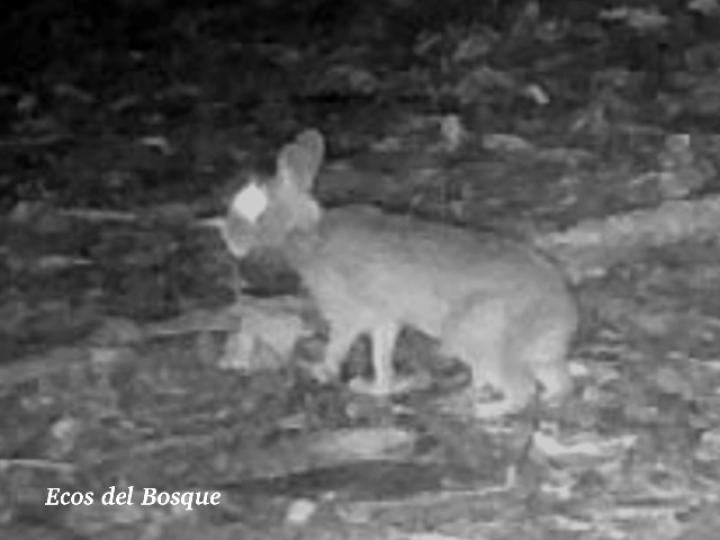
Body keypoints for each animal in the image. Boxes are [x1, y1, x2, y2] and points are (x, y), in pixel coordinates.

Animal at [219, 129, 578, 418]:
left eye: (256, 213)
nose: (230, 242)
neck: (307, 233)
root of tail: (560, 312)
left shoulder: (348, 314)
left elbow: (339, 345)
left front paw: (322, 371)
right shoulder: (385, 319)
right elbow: (382, 356)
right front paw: (376, 388)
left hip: (478, 336)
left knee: (522, 389)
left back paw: (487, 411)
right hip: (530, 353)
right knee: (557, 382)